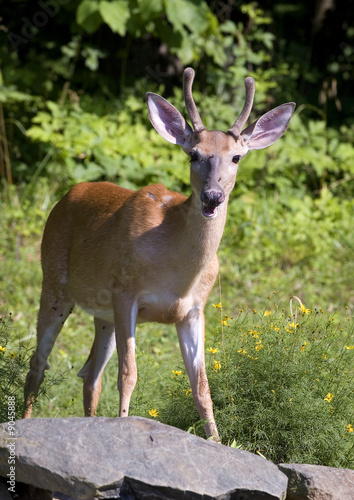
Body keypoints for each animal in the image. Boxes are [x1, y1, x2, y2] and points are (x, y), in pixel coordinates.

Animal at [22, 67, 296, 442]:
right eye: (194, 155)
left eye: (237, 157)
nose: (212, 196)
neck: (177, 271)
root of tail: (64, 197)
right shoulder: (126, 292)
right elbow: (129, 374)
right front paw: (124, 425)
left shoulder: (194, 309)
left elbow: (201, 386)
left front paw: (219, 442)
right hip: (54, 282)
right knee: (38, 364)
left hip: (102, 315)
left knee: (89, 373)